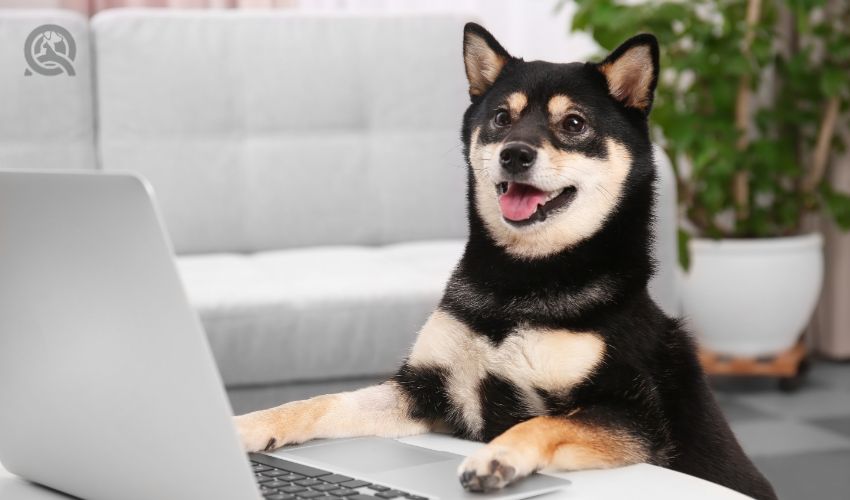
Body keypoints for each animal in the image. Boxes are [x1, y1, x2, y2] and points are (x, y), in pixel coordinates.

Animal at [232, 23, 776, 500]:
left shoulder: (637, 418)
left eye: (573, 124)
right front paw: (247, 424)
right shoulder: (427, 389)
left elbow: (545, 421)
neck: (517, 284)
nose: (515, 154)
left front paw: (497, 457)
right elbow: (321, 401)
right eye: (500, 118)